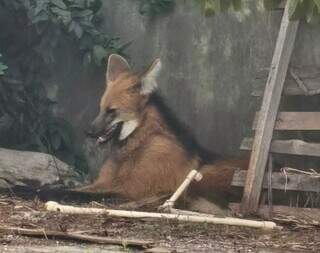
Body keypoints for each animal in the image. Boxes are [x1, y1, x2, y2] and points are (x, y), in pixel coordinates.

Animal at [79, 54, 248, 205]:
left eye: (112, 111)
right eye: (101, 109)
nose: (88, 132)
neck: (138, 142)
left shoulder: (131, 189)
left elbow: (79, 193)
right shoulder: (105, 182)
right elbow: (81, 189)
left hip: (203, 177)